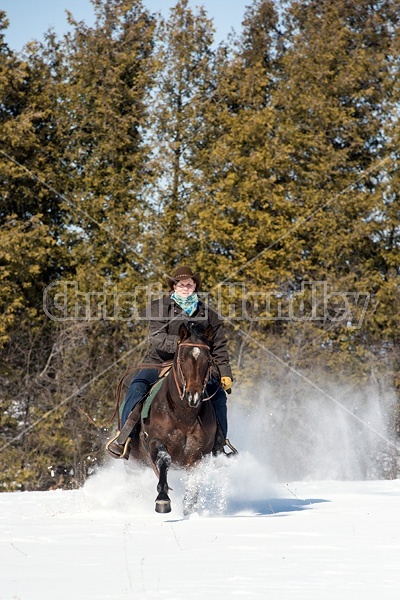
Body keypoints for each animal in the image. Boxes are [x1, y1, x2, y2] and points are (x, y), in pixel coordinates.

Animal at [129, 322, 217, 512]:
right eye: (182, 359)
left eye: (208, 361)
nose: (194, 396)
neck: (183, 416)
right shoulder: (155, 441)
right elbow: (164, 460)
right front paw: (162, 499)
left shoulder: (198, 456)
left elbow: (192, 490)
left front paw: (189, 511)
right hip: (134, 460)